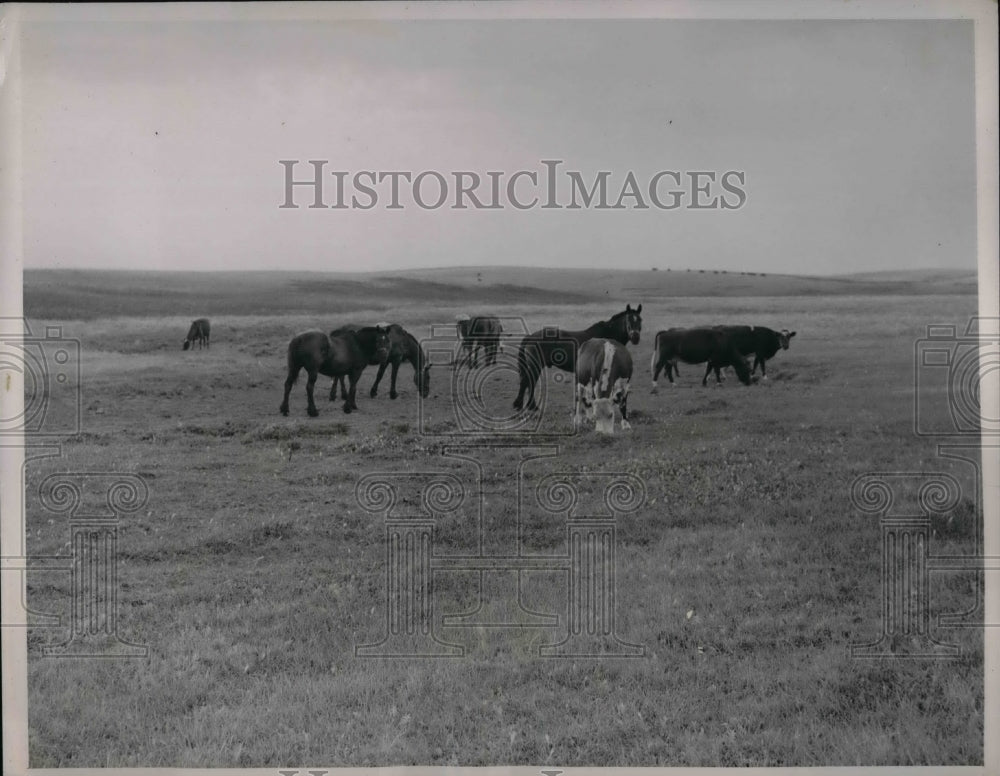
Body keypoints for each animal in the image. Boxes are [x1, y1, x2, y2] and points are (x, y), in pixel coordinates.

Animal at [512, 304, 644, 412]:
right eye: (628, 319)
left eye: (640, 320)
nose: (635, 337)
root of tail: (531, 336)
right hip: (536, 366)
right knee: (528, 382)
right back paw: (531, 406)